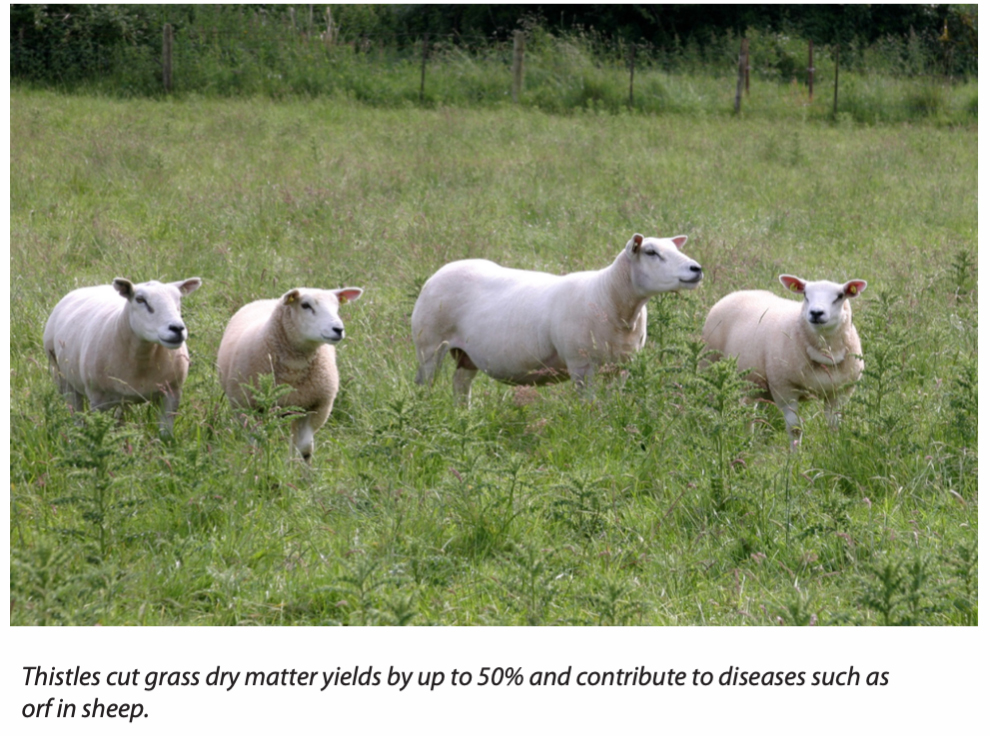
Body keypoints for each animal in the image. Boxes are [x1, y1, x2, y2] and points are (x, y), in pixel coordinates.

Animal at [44, 278, 203, 434]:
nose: (177, 328)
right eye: (140, 300)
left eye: (178, 299)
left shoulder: (171, 394)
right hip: (61, 377)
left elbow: (166, 435)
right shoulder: (97, 401)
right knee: (76, 413)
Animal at [219, 286, 366, 460]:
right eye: (305, 305)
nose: (338, 329)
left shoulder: (317, 407)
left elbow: (304, 449)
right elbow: (257, 443)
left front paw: (298, 468)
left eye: (337, 306)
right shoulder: (247, 407)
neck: (294, 368)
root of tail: (269, 299)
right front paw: (258, 465)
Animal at [410, 231, 704, 400]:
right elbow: (590, 406)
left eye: (676, 249)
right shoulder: (582, 366)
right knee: (424, 386)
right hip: (429, 345)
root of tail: (441, 271)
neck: (609, 295)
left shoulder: (622, 366)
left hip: (466, 355)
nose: (696, 268)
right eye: (651, 252)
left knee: (460, 384)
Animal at [700, 276, 872, 446]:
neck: (824, 353)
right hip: (710, 365)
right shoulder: (784, 389)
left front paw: (833, 449)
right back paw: (711, 436)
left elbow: (833, 426)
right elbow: (795, 429)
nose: (816, 313)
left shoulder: (840, 392)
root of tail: (740, 292)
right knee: (710, 406)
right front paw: (796, 454)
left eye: (840, 296)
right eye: (805, 294)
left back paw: (748, 443)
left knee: (748, 410)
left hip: (752, 380)